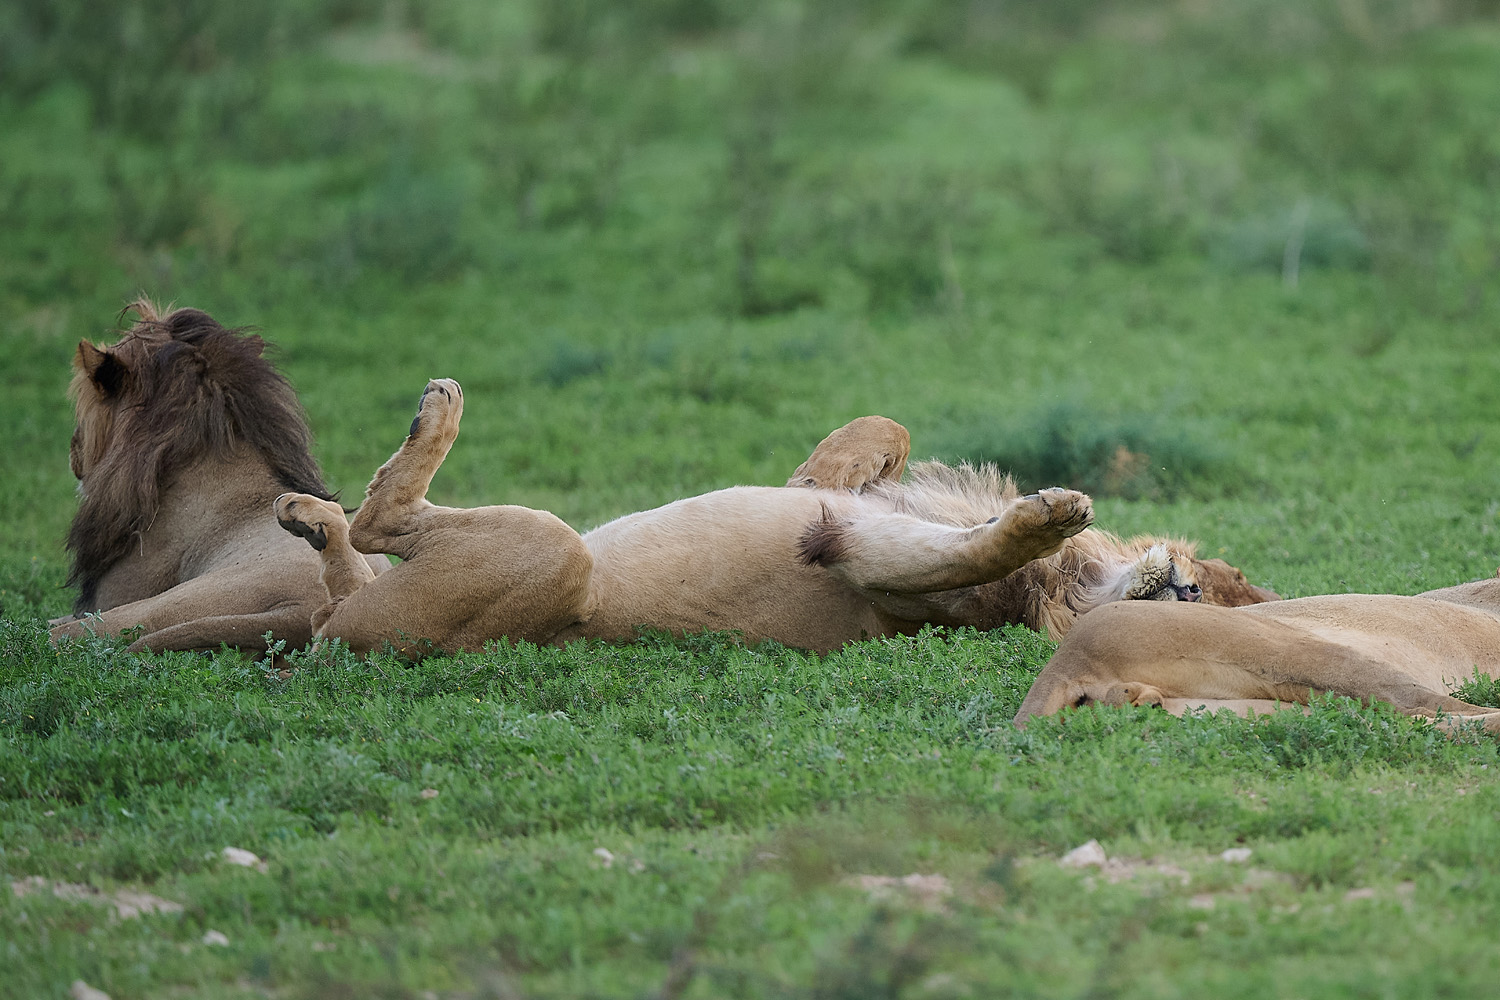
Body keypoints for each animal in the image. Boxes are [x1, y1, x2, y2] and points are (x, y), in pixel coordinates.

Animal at [268, 376, 1276, 656]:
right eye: (1205, 592)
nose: (1180, 591)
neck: (1068, 584)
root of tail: (330, 647)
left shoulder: (879, 575)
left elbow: (967, 554)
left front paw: (1050, 512)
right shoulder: (853, 498)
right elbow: (877, 431)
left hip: (557, 558)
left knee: (381, 528)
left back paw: (425, 422)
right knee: (346, 562)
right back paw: (307, 513)